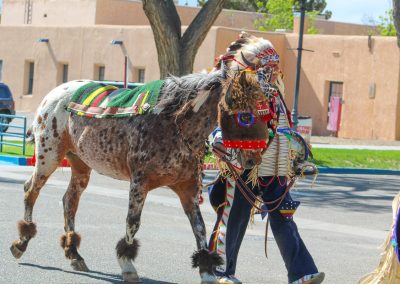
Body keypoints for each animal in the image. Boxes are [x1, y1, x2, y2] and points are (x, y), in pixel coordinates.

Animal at [10, 63, 272, 280]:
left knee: (69, 201)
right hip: (49, 156)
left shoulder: (187, 189)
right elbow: (133, 222)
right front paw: (127, 263)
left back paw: (74, 253)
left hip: (80, 164)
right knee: (31, 190)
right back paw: (22, 241)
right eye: (246, 116)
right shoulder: (140, 182)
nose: (253, 158)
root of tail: (54, 93)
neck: (174, 124)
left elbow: (199, 228)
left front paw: (207, 270)